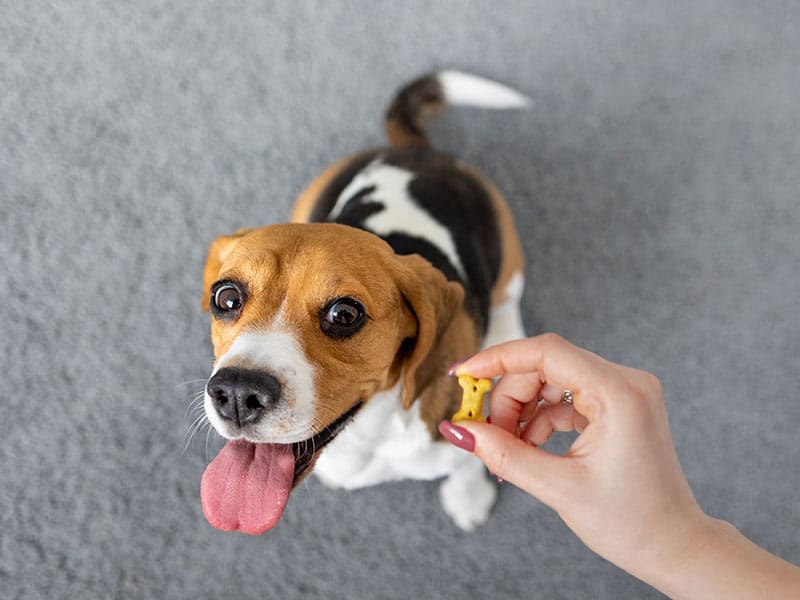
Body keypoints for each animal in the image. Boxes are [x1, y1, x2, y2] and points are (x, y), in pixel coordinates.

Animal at [198, 71, 528, 536]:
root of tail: (415, 152)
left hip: (509, 261)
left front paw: (469, 499)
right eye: (226, 297)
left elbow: (467, 463)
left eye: (344, 314)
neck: (370, 430)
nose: (238, 393)